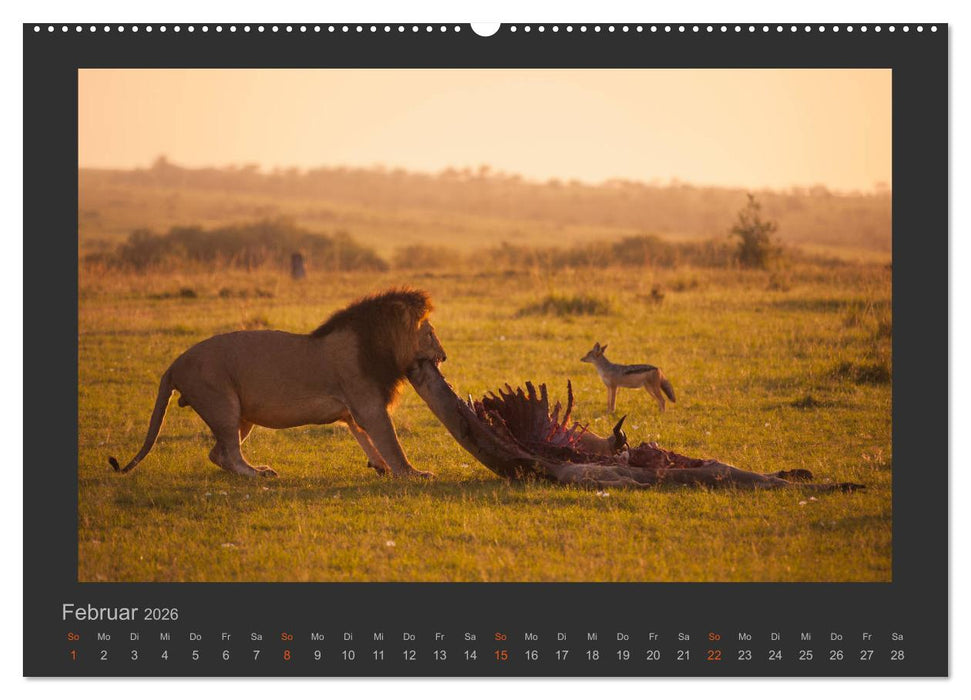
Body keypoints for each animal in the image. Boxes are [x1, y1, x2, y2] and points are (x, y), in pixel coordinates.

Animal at [108, 288, 445, 479]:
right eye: (430, 334)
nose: (444, 356)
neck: (381, 343)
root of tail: (174, 363)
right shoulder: (369, 404)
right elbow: (391, 443)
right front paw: (412, 473)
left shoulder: (355, 410)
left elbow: (366, 438)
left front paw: (380, 467)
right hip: (222, 403)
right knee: (230, 453)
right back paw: (258, 474)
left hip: (240, 415)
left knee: (218, 453)